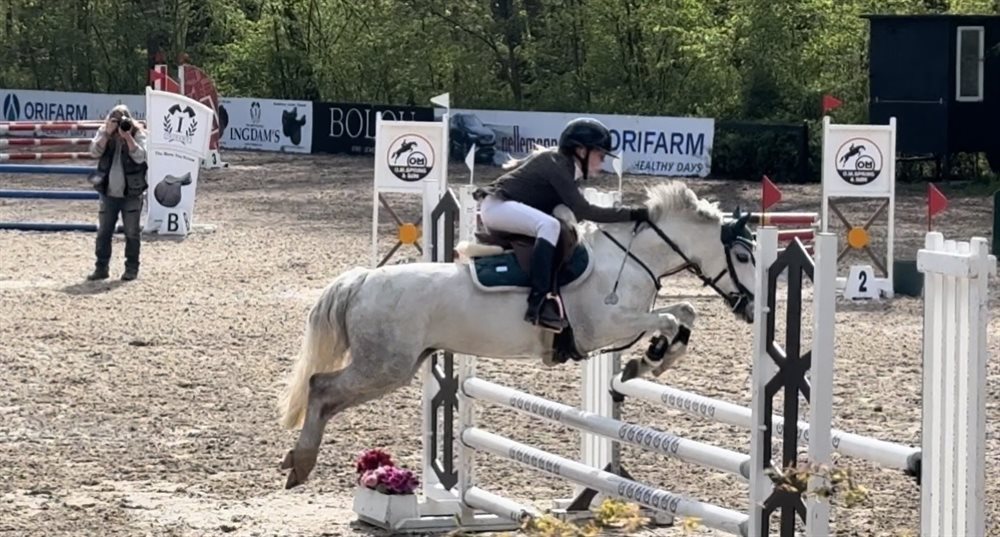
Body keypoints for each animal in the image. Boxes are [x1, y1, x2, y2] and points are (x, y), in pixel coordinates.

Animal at [275, 181, 757, 489]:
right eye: (741, 255)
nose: (753, 308)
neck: (630, 256)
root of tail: (362, 281)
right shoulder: (604, 327)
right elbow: (669, 321)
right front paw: (650, 358)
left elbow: (685, 311)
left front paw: (649, 360)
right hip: (383, 367)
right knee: (320, 388)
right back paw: (301, 463)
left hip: (395, 366)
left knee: (327, 398)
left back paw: (295, 460)